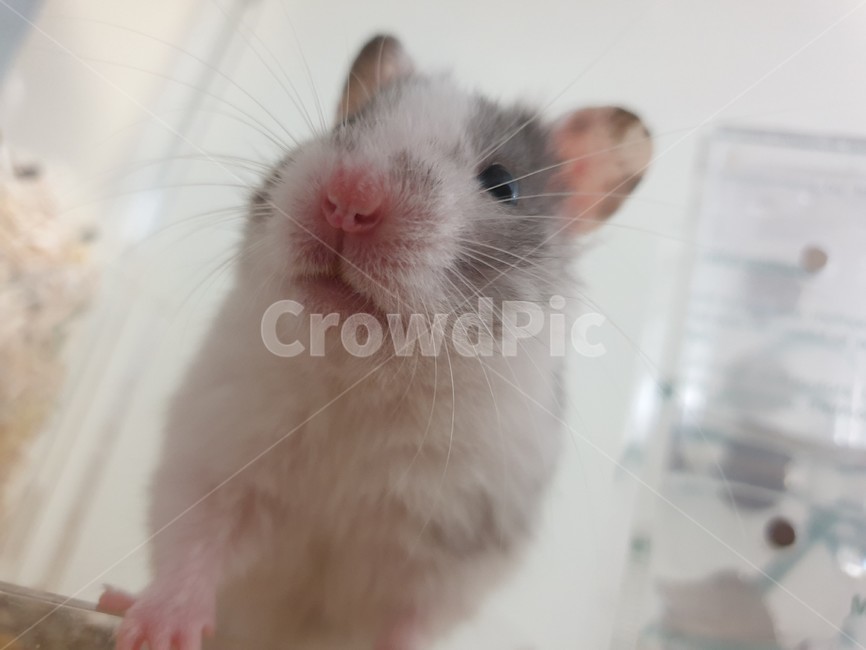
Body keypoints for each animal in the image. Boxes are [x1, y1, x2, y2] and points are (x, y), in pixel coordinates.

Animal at [102, 35, 652, 650]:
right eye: (347, 127)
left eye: (502, 184)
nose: (348, 200)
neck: (363, 374)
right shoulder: (211, 465)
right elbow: (193, 549)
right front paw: (156, 632)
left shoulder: (449, 556)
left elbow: (407, 623)